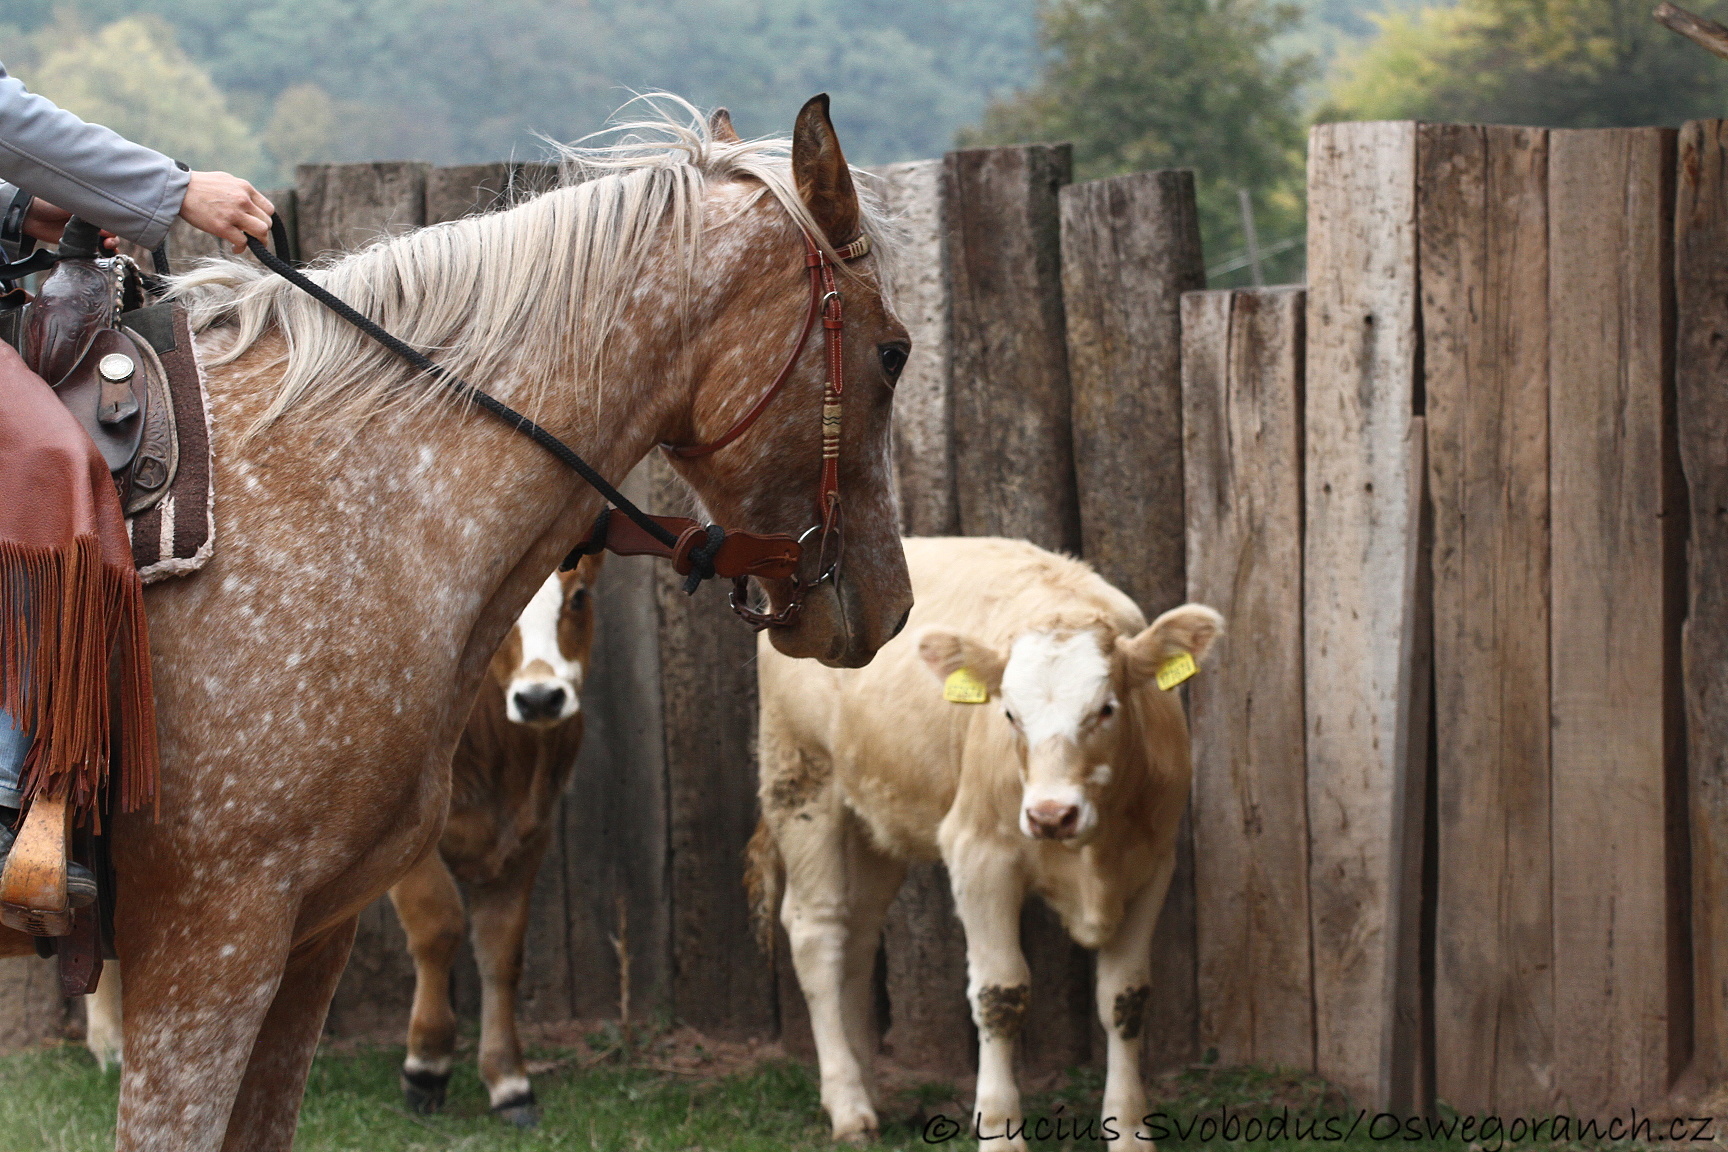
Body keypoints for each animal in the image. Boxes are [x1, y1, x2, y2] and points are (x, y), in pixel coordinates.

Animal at [749, 535, 1223, 1146]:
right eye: (1010, 714)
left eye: (1106, 709)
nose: (1051, 815)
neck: (1093, 853)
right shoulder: (978, 854)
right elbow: (1002, 993)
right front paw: (999, 1129)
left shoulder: (1153, 860)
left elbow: (1125, 996)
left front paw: (1131, 1127)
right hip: (802, 778)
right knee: (818, 931)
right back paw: (848, 1103)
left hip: (874, 816)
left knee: (858, 934)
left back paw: (866, 1086)